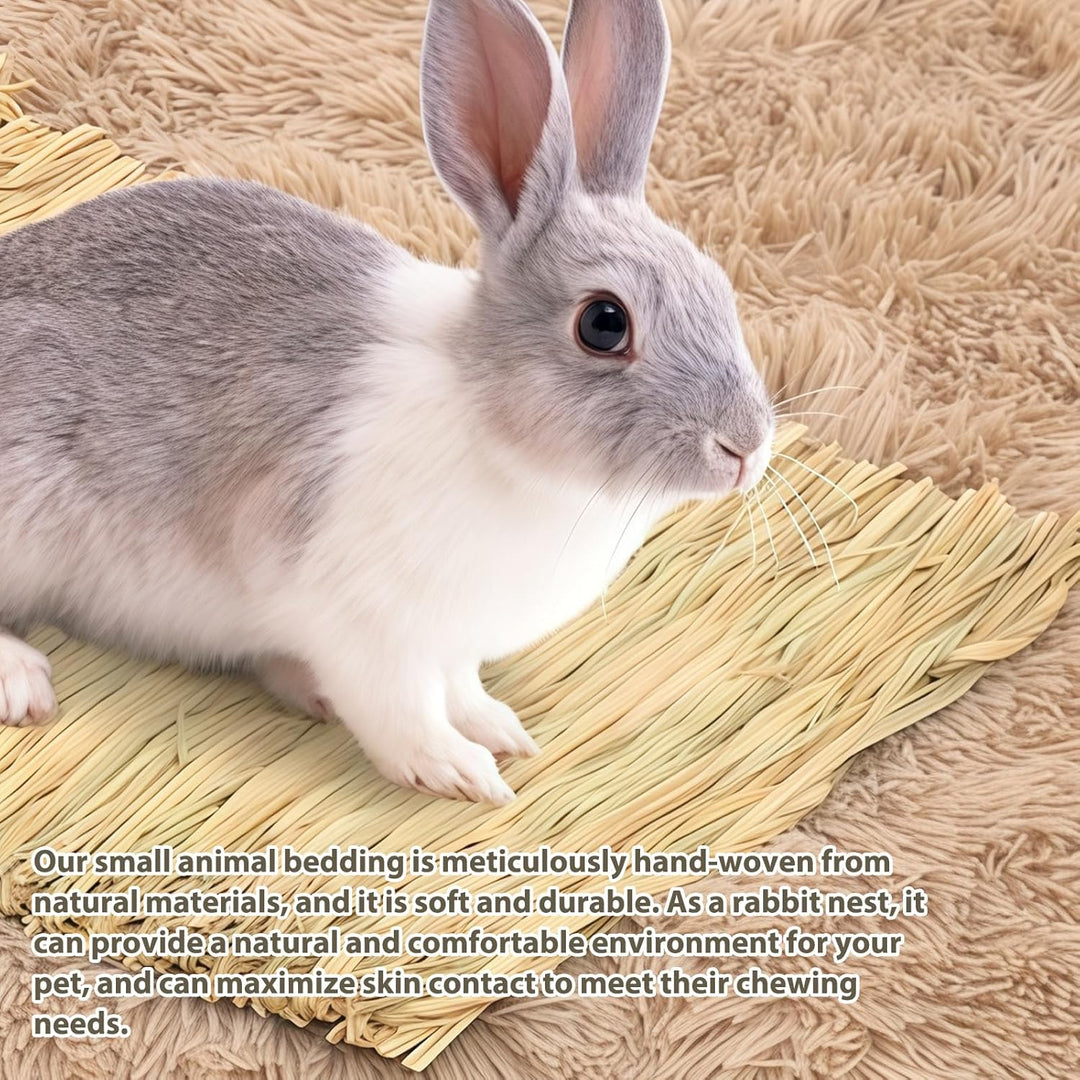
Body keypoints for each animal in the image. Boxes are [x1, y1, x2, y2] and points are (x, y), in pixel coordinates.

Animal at [0, 0, 774, 804]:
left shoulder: (451, 642)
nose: (745, 448)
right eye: (603, 323)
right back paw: (24, 683)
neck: (495, 432)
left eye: (720, 287)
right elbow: (401, 711)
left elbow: (459, 688)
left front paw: (500, 729)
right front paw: (462, 772)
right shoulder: (368, 627)